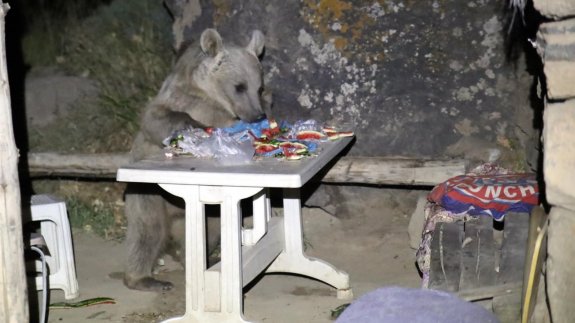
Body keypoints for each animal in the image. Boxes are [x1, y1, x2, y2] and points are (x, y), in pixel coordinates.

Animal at [124, 27, 272, 292]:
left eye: (259, 87)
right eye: (239, 86)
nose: (256, 115)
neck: (210, 96)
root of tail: (175, 211)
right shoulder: (178, 97)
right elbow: (155, 118)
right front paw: (193, 127)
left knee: (208, 229)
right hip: (148, 195)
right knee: (147, 229)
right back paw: (144, 279)